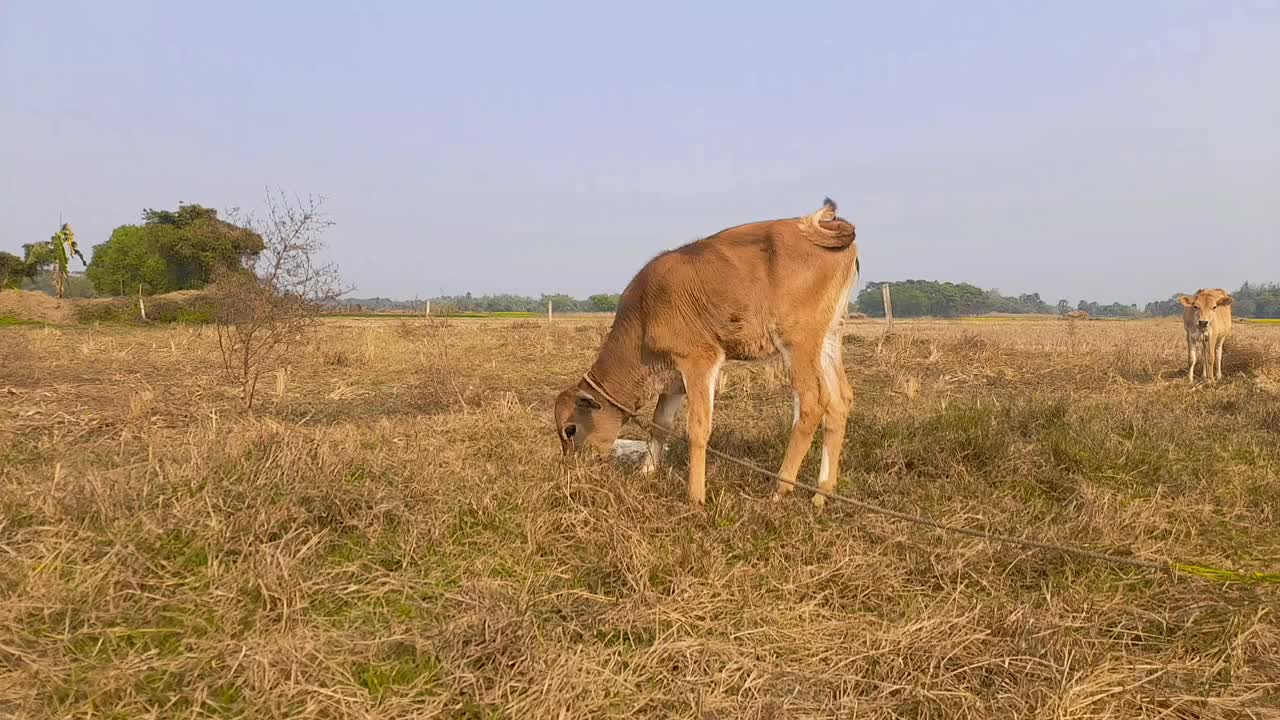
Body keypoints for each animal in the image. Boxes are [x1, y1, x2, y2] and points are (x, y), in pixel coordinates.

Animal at [552, 197, 860, 504]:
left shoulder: (699, 359)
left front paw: (695, 497)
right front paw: (647, 473)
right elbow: (660, 423)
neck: (644, 312)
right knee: (839, 401)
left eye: (570, 429)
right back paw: (822, 493)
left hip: (798, 342)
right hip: (829, 340)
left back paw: (781, 488)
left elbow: (697, 429)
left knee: (812, 403)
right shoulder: (674, 377)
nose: (573, 470)